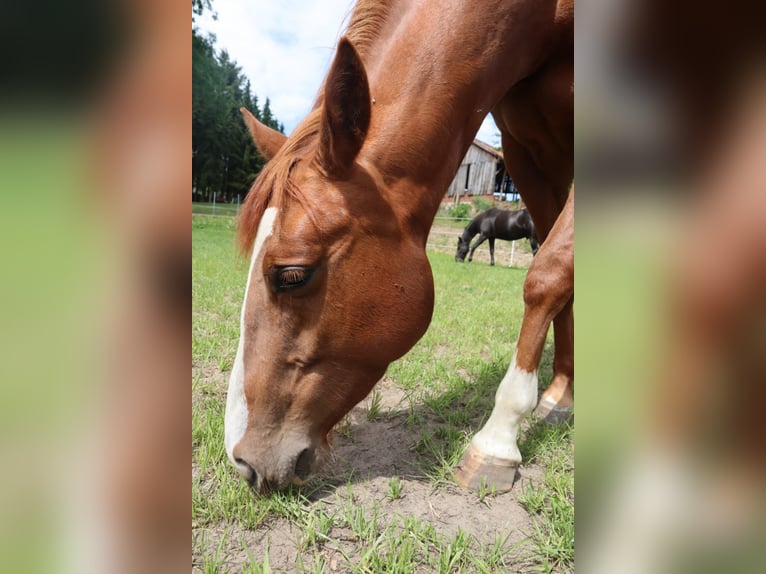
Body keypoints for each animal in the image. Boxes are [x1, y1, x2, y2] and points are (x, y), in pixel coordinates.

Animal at [226, 0, 573, 493]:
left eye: (292, 274)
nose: (241, 460)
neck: (548, 20)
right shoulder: (530, 157)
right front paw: (560, 395)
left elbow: (548, 275)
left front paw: (498, 441)